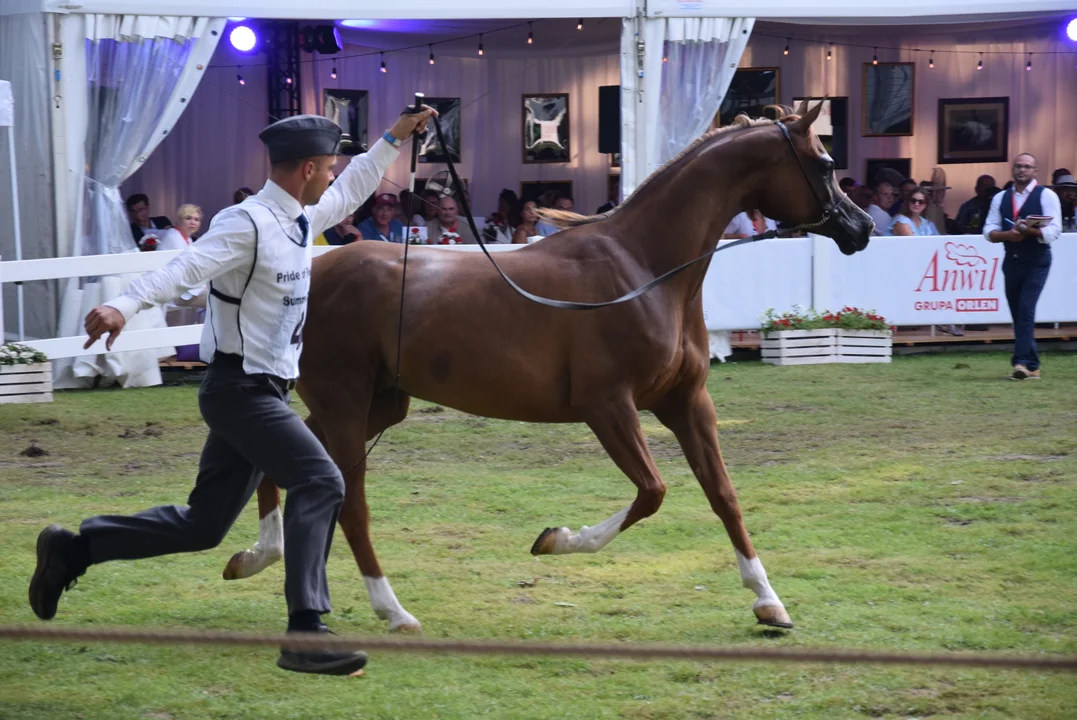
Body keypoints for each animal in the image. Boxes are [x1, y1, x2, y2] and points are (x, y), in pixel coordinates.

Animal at [220, 102, 874, 628]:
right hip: (348, 402)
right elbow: (653, 492)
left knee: (289, 466)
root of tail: (313, 270)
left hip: (381, 403)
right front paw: (555, 540)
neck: (642, 269)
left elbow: (724, 496)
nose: (862, 227)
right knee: (349, 500)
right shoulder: (608, 407)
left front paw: (769, 603)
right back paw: (391, 609)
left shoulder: (687, 403)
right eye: (823, 163)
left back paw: (256, 556)